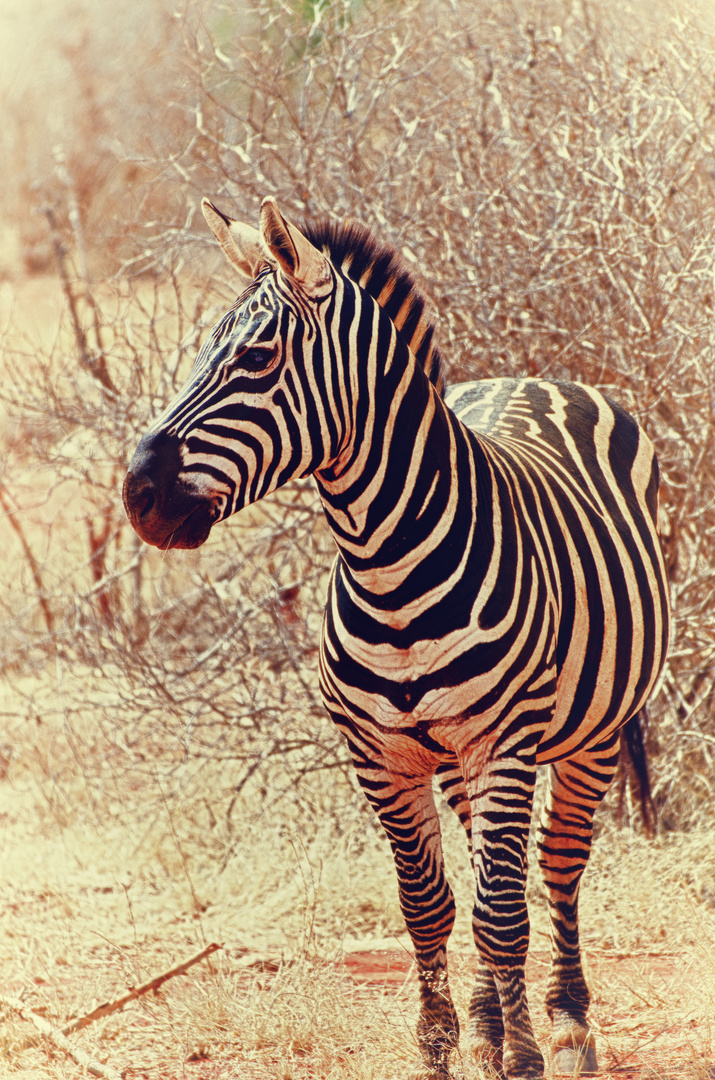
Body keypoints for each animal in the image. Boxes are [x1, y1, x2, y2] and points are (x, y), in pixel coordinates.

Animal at [124, 198, 673, 1075]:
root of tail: (533, 378)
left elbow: (500, 915)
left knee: (555, 866)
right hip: (454, 761)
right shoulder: (379, 756)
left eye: (255, 357)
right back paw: (490, 1025)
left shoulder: (502, 744)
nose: (137, 494)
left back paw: (567, 1027)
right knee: (491, 873)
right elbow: (428, 908)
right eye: (204, 349)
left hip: (588, 732)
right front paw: (446, 1047)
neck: (386, 566)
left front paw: (523, 1055)